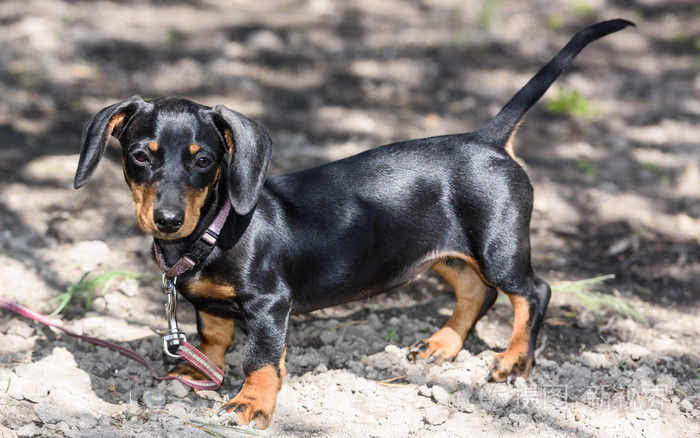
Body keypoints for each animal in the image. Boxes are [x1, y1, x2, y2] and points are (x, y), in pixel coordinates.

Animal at [74, 19, 632, 428]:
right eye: (140, 156)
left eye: (204, 161)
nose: (167, 220)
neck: (213, 229)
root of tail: (488, 140)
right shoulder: (210, 307)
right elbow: (211, 339)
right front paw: (192, 369)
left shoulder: (270, 305)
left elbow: (261, 358)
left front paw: (251, 402)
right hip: (437, 253)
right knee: (477, 292)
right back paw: (441, 346)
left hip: (499, 248)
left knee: (532, 292)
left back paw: (514, 360)